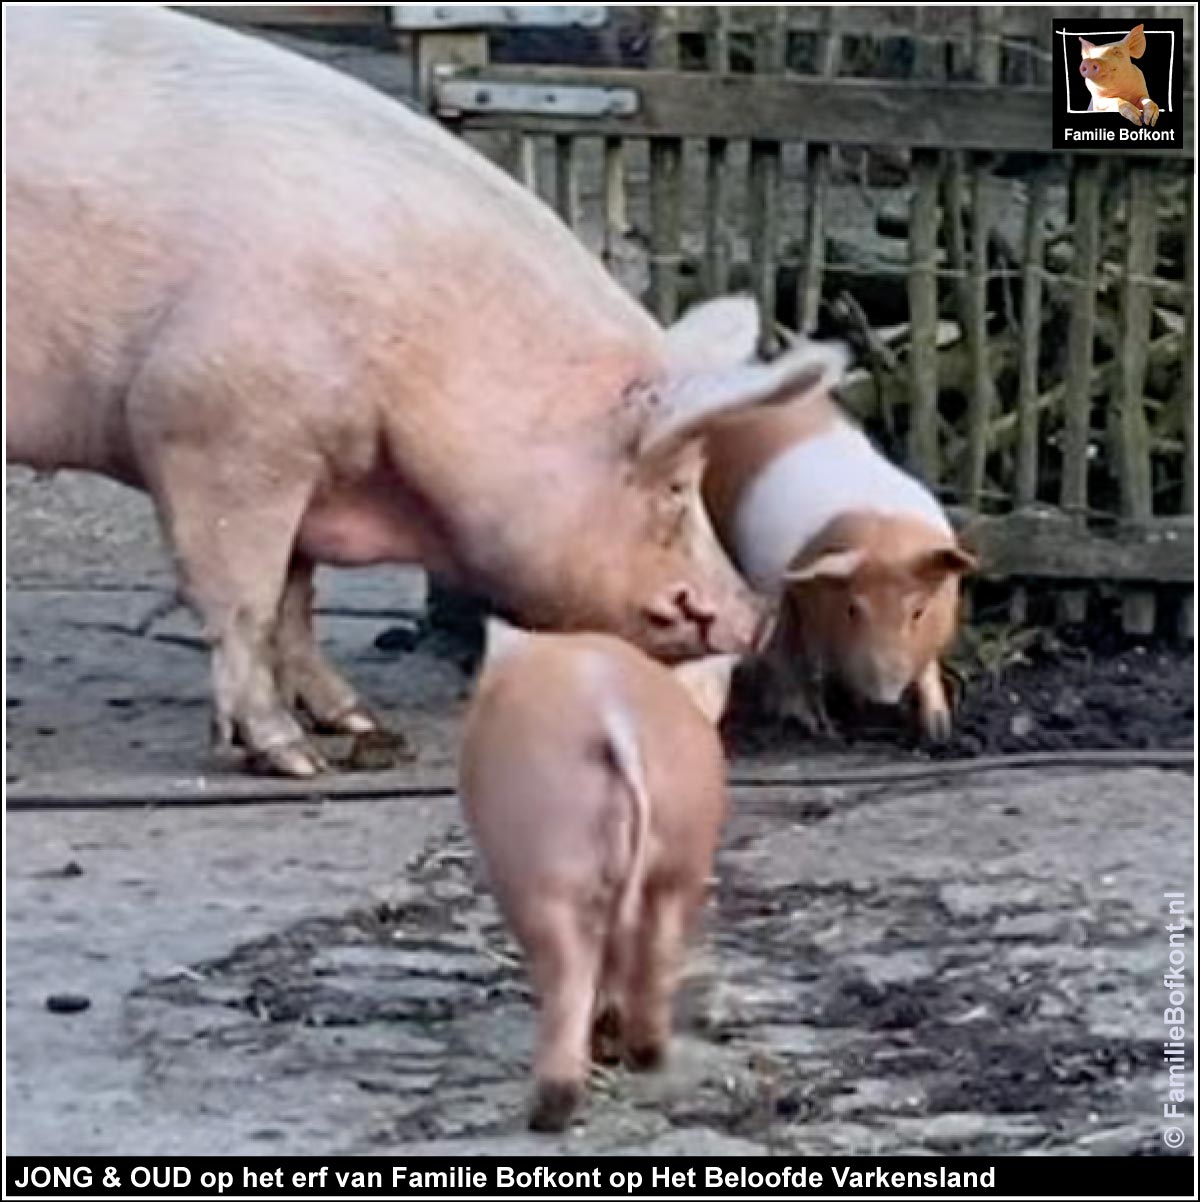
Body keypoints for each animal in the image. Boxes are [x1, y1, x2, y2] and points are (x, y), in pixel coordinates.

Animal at [4, 7, 832, 778]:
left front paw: (356, 721)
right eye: (674, 486)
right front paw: (290, 759)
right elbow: (244, 603)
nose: (755, 615)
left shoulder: (305, 458)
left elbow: (296, 599)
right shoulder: (211, 427)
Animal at [459, 615, 735, 1129]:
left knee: (569, 968)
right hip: (683, 842)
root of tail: (616, 715)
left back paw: (549, 1109)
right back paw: (645, 1055)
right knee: (658, 945)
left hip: (544, 847)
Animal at [702, 370, 976, 735]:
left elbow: (928, 662)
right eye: (852, 609)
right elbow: (782, 653)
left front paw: (938, 730)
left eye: (918, 611)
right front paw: (810, 724)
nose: (883, 700)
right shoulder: (770, 583)